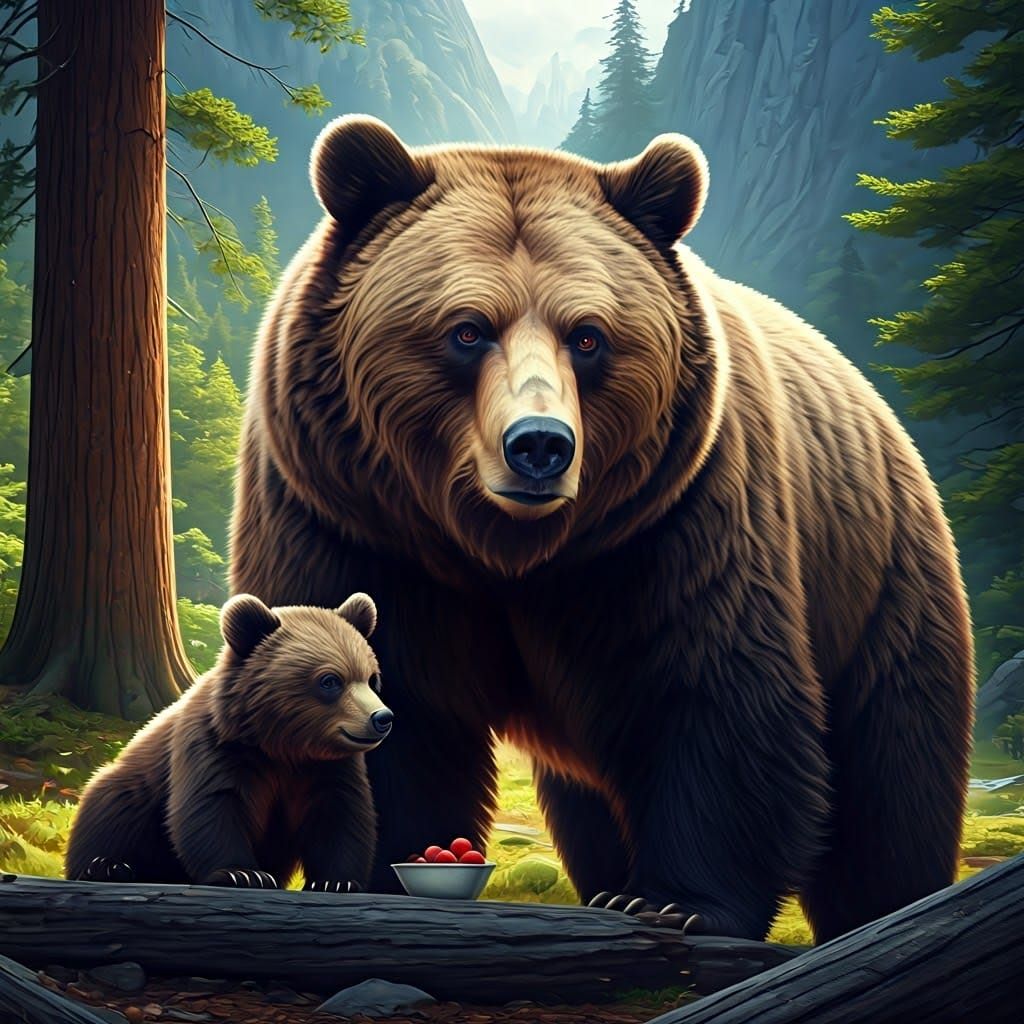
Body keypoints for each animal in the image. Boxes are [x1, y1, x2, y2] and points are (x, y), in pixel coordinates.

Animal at [65, 593, 391, 891]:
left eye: (371, 679)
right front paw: (243, 873)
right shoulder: (216, 745)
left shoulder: (328, 766)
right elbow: (212, 806)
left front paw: (336, 881)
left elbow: (339, 814)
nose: (382, 717)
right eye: (330, 681)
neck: (282, 744)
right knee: (111, 811)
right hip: (129, 792)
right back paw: (107, 866)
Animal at [228, 114, 974, 942]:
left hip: (880, 584)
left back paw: (885, 904)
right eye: (467, 330)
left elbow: (716, 686)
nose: (540, 445)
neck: (503, 551)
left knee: (890, 787)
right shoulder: (346, 519)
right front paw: (389, 864)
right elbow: (388, 698)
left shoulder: (677, 521)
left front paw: (680, 899)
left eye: (588, 336)